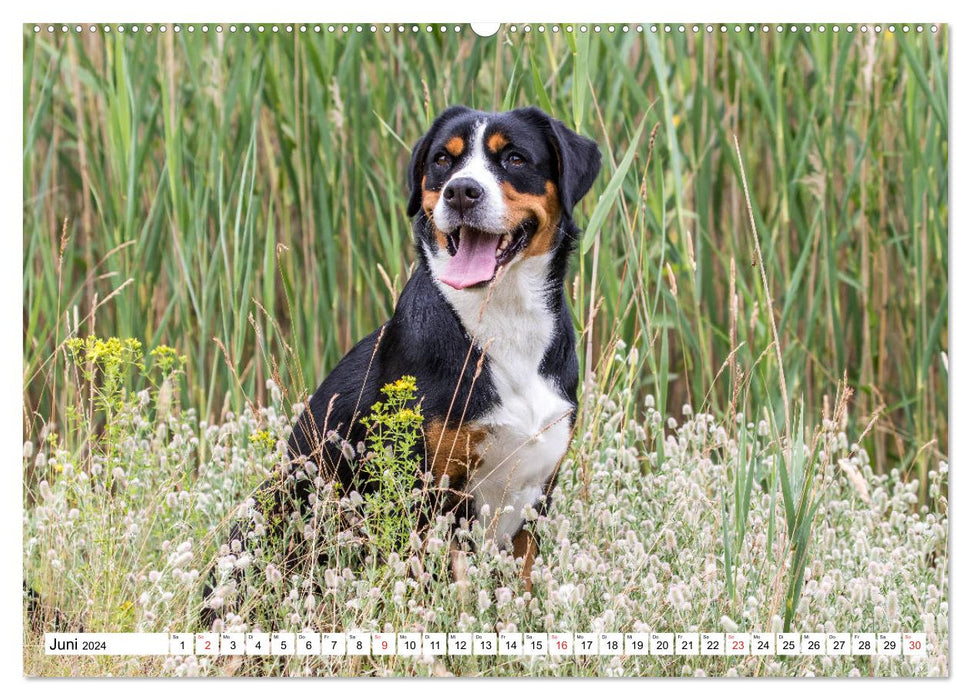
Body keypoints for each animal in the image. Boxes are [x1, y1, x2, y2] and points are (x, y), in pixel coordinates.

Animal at [203, 102, 600, 616]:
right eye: (443, 160)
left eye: (514, 158)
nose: (462, 191)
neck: (504, 322)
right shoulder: (427, 491)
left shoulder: (536, 494)